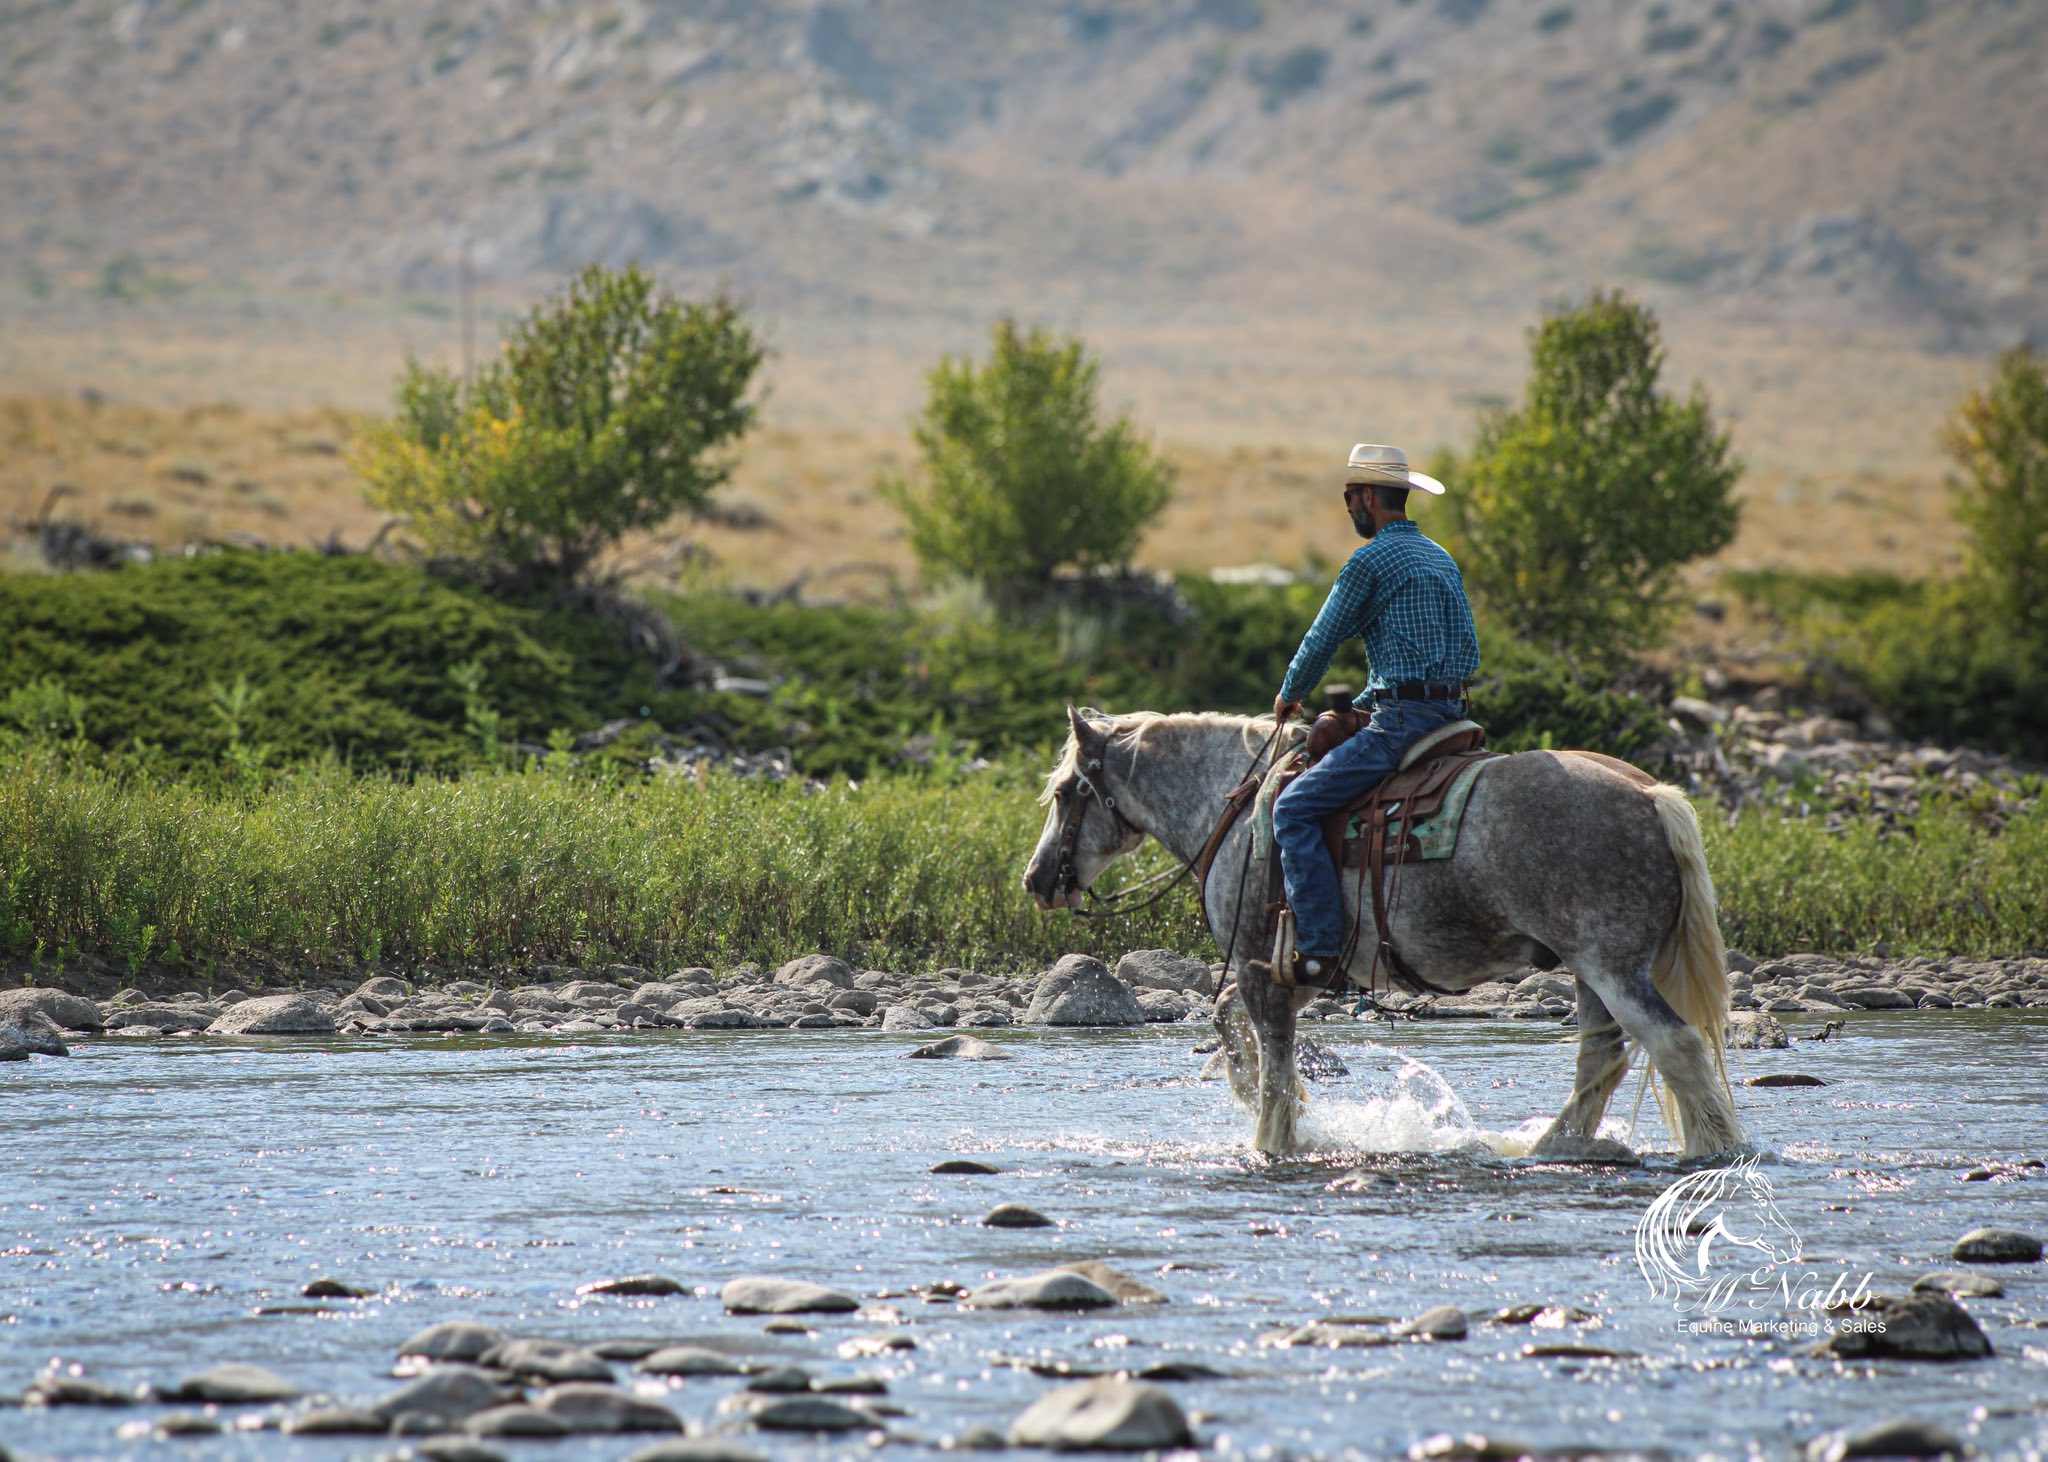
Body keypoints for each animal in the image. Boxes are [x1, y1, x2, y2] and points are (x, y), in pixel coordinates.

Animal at [1022, 706, 1745, 1159]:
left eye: (1062, 792)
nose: (1036, 878)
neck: (1235, 806)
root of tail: (1652, 796)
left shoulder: (1264, 969)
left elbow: (1272, 1058)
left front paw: (1275, 1138)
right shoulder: (1305, 968)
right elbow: (1230, 1023)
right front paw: (1278, 1102)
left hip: (1611, 966)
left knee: (1674, 1045)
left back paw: (1713, 1149)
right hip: (1590, 973)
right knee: (1602, 1059)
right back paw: (1546, 1147)